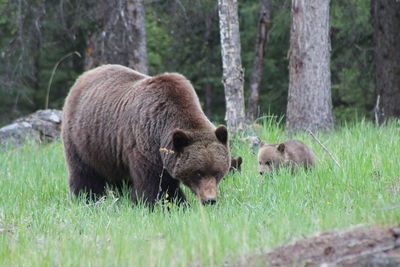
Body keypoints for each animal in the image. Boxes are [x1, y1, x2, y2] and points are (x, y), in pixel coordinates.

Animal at [62, 65, 231, 207]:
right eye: (198, 173)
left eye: (217, 172)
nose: (210, 200)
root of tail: (84, 76)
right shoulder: (145, 144)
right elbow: (156, 184)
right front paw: (168, 204)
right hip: (82, 140)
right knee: (84, 173)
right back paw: (87, 199)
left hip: (111, 152)